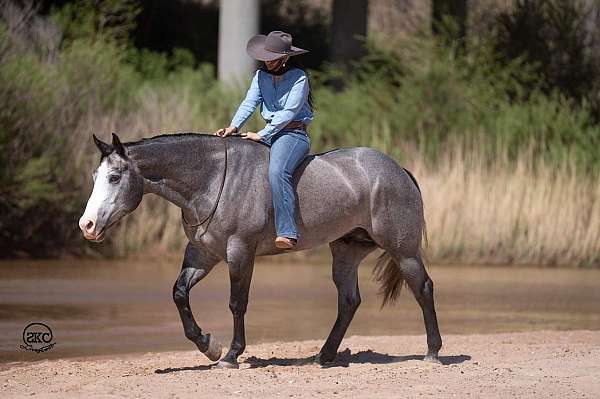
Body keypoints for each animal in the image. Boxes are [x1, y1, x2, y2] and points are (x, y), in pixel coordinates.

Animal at [78, 134, 440, 368]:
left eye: (114, 177)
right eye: (96, 175)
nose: (87, 225)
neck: (213, 179)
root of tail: (398, 170)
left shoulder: (240, 251)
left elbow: (237, 303)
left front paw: (230, 355)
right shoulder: (203, 254)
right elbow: (179, 293)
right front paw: (208, 346)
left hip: (403, 251)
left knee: (423, 289)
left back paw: (433, 352)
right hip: (346, 252)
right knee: (349, 301)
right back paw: (324, 356)